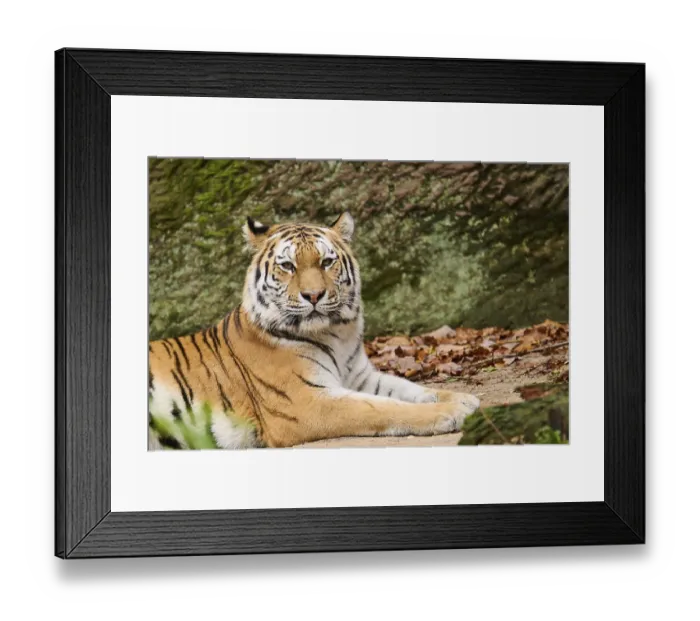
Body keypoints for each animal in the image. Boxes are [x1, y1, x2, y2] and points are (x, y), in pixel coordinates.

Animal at [148, 212, 480, 449]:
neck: (336, 334)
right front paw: (452, 412)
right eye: (287, 266)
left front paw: (462, 398)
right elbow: (382, 408)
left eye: (327, 261)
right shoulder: (308, 401)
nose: (314, 295)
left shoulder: (359, 377)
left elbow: (409, 389)